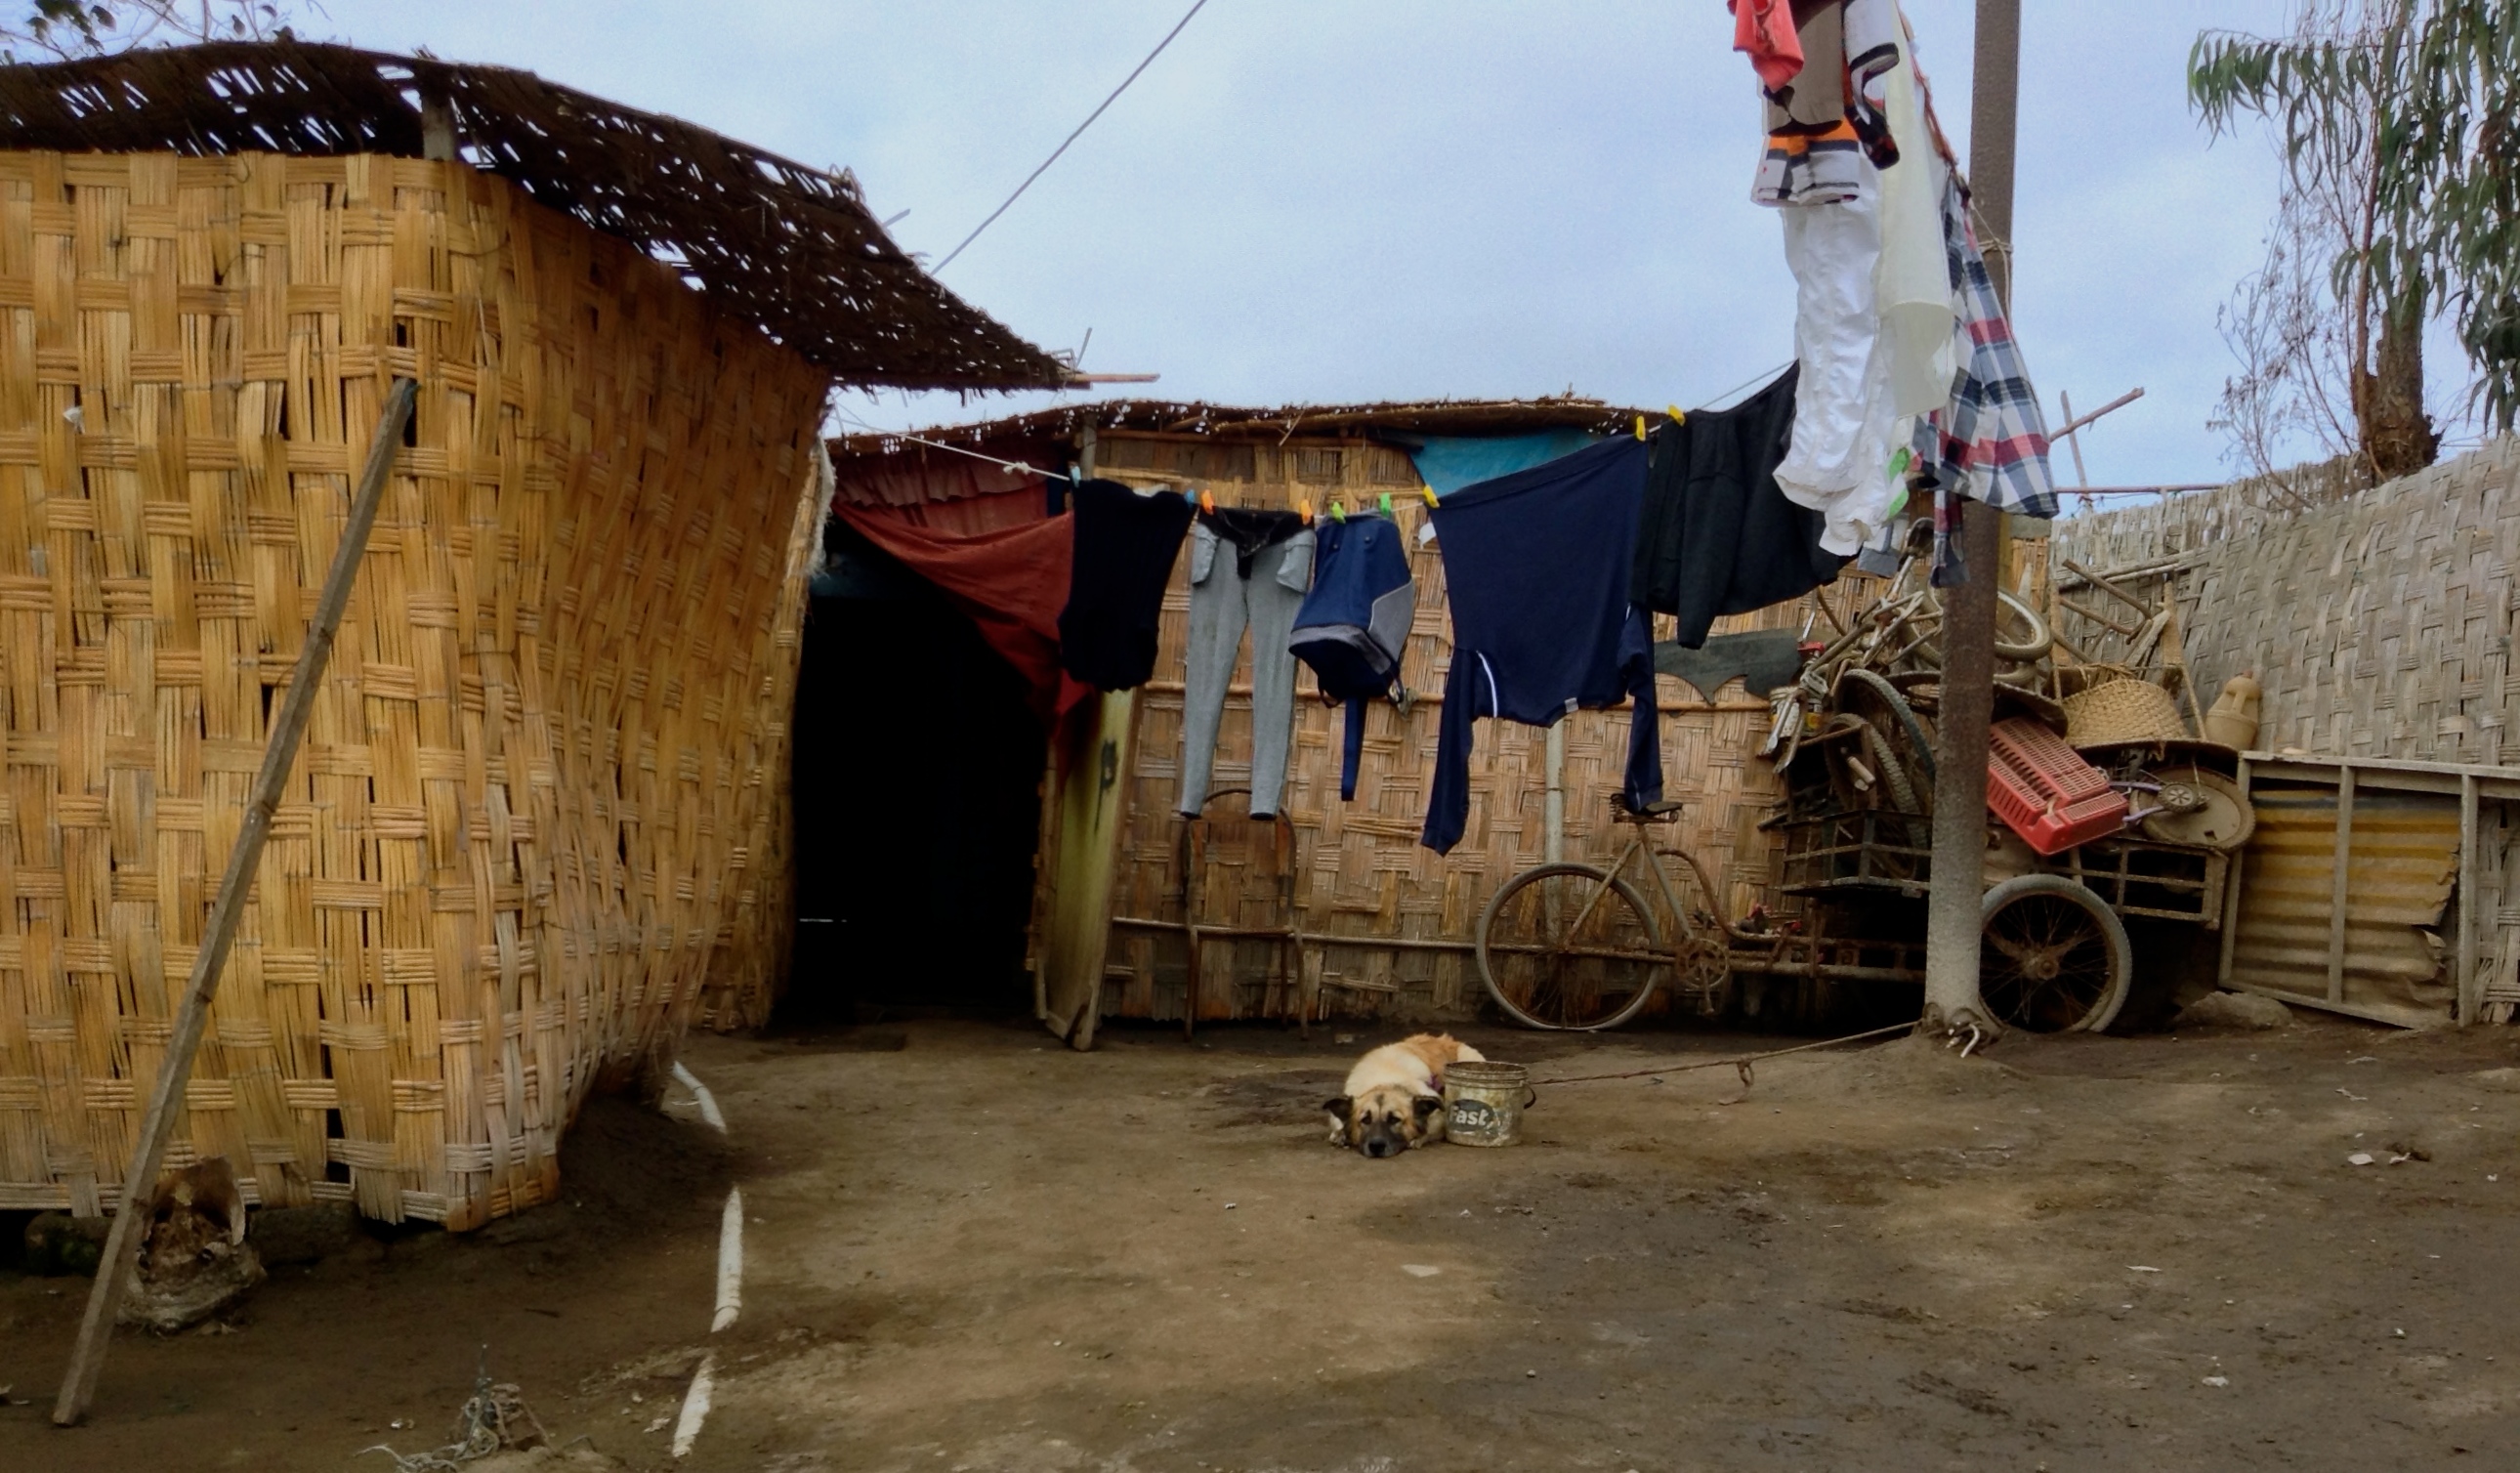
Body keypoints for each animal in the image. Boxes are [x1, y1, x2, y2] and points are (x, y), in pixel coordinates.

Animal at [1323, 1033, 1485, 1158]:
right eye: (1366, 1120)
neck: (1385, 1081)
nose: (1376, 1146)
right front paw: (1339, 1134)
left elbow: (1429, 1129)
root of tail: (1449, 1040)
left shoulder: (1440, 1117)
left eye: (1394, 1119)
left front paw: (1418, 1138)